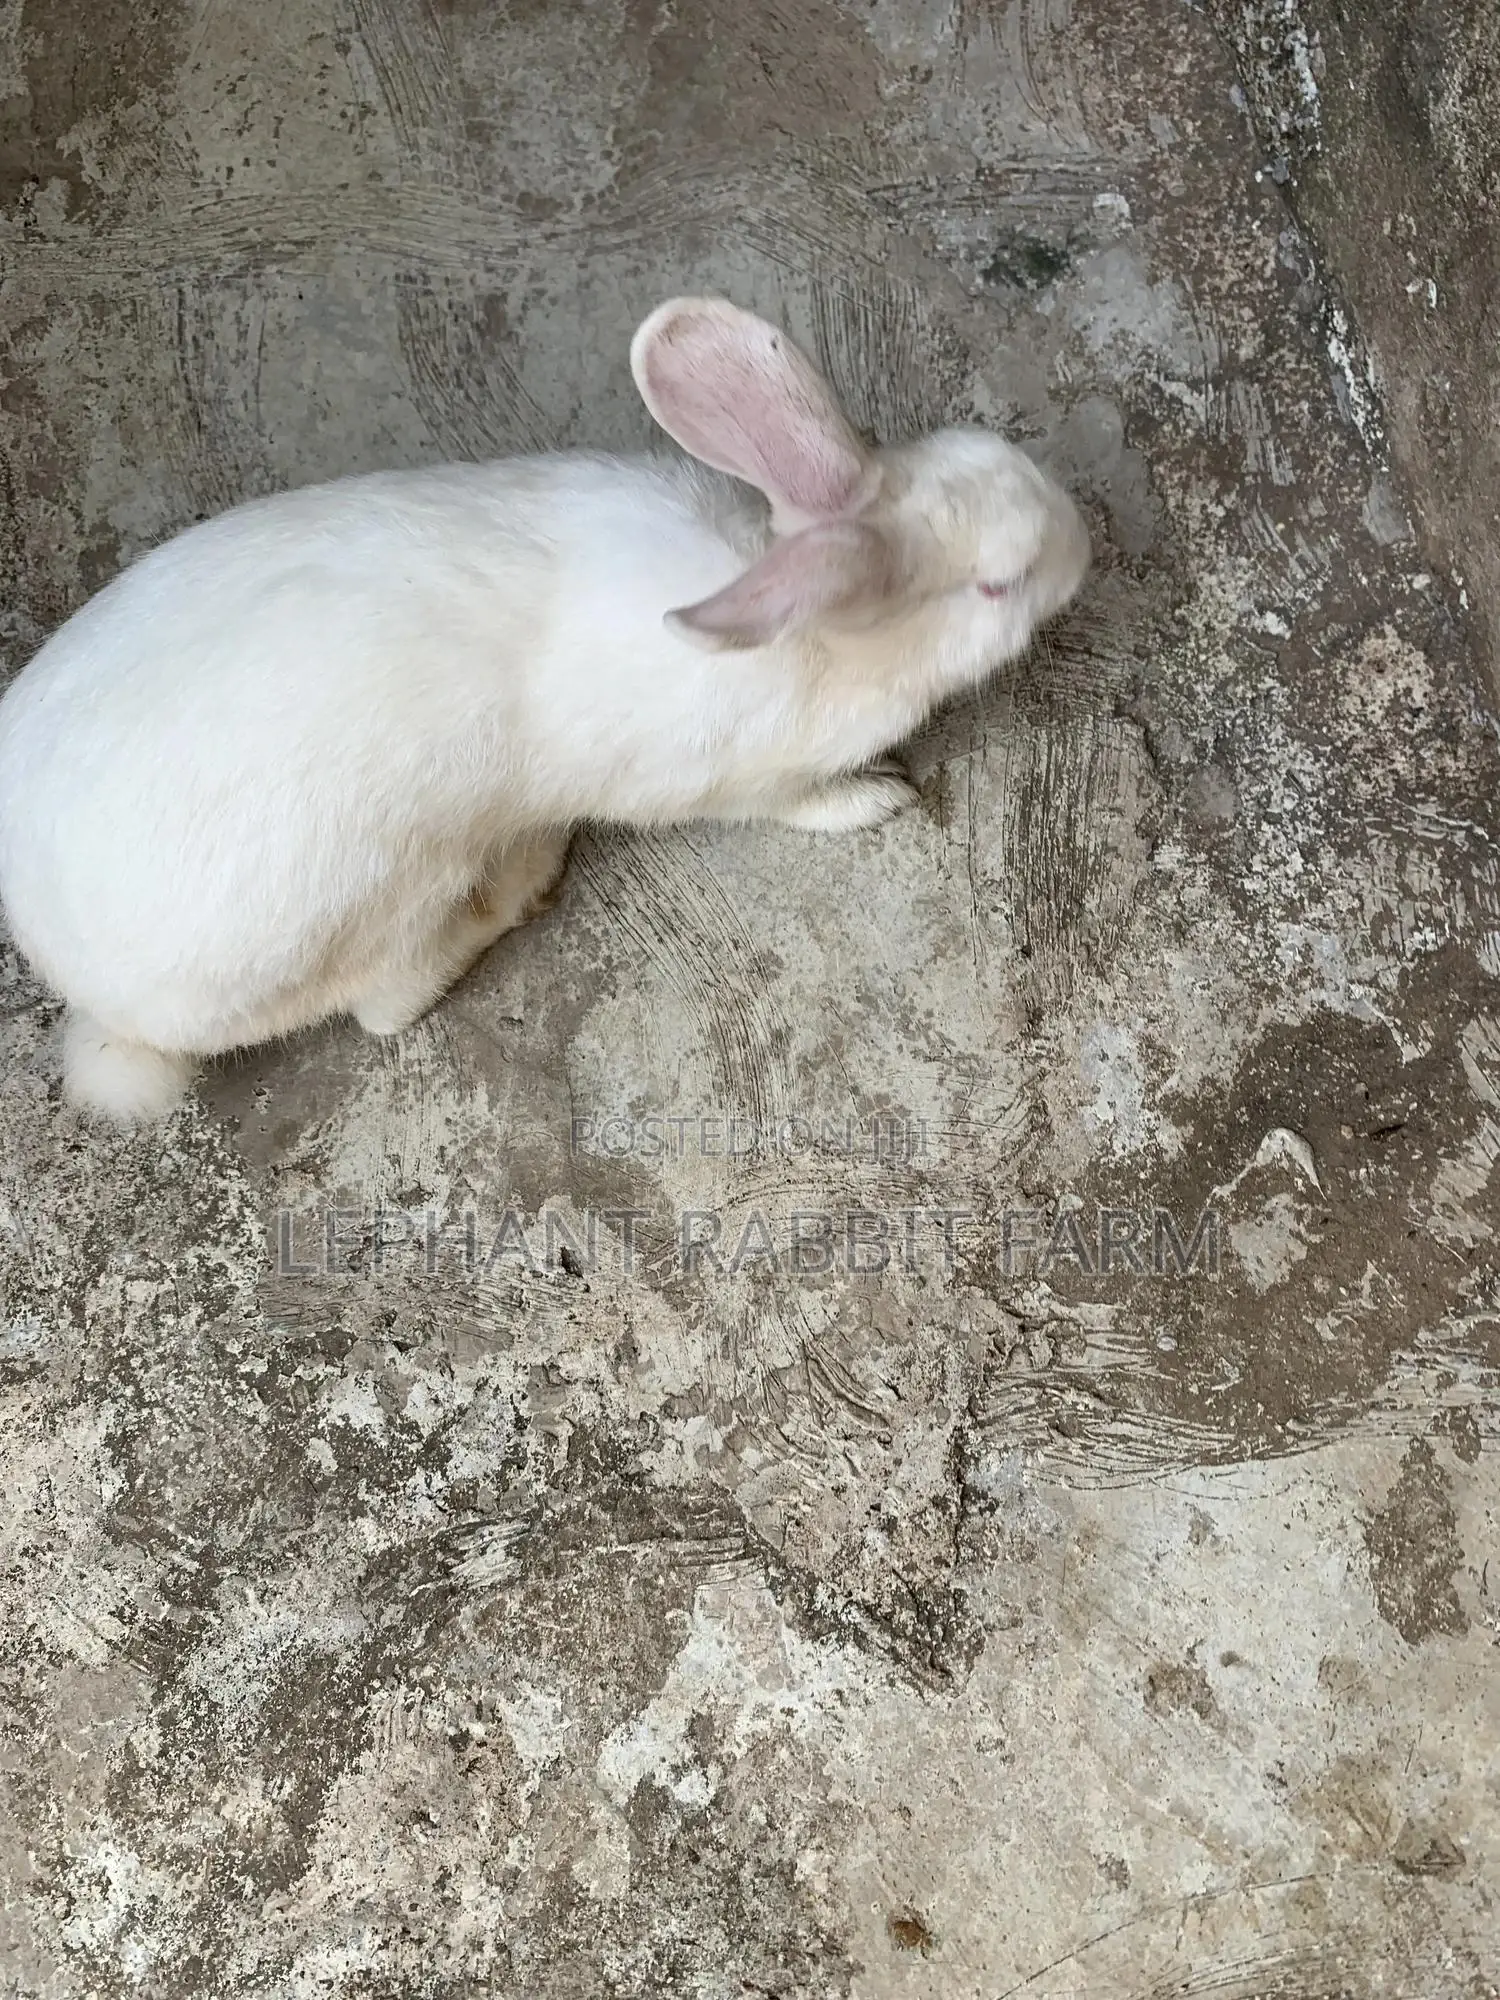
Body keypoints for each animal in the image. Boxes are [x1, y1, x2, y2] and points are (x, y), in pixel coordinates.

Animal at [0, 296, 1090, 1124]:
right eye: (999, 583)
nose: (1084, 540)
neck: (807, 624)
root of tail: (95, 998)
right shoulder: (745, 779)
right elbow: (804, 804)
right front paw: (878, 798)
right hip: (378, 909)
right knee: (388, 1005)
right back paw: (523, 878)